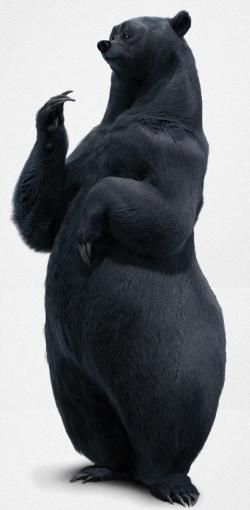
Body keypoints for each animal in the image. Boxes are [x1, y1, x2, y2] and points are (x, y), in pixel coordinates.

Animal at [12, 9, 227, 504]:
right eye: (113, 29)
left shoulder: (173, 151)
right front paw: (52, 112)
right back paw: (101, 467)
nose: (103, 43)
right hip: (67, 362)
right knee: (89, 414)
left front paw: (88, 230)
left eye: (130, 31)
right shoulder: (90, 150)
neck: (139, 109)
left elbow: (165, 211)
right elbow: (43, 218)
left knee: (168, 414)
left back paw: (174, 483)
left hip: (172, 348)